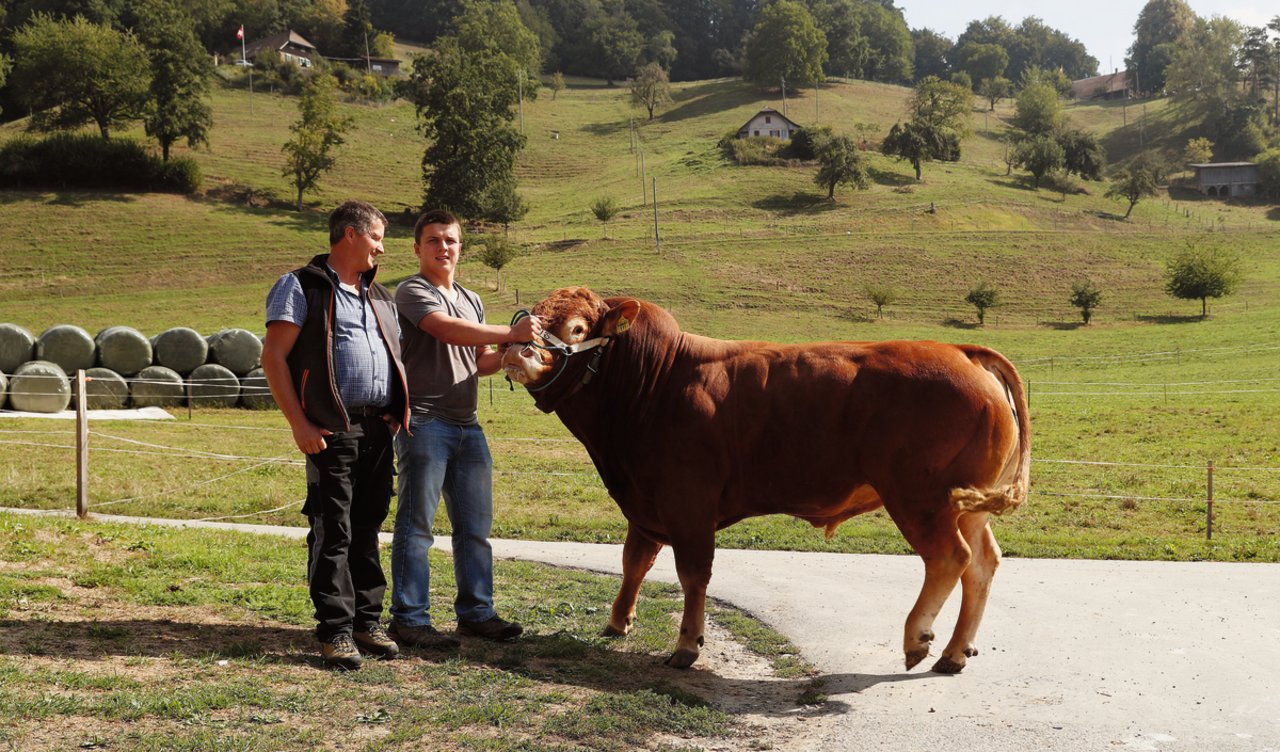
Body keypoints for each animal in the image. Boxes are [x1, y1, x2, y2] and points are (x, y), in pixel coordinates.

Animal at [499, 286, 1029, 670]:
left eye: (576, 327)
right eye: (529, 316)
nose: (516, 352)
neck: (654, 382)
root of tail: (961, 351)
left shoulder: (688, 502)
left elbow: (693, 572)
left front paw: (687, 644)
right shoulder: (644, 500)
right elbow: (635, 561)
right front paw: (617, 622)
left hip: (922, 499)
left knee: (950, 559)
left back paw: (918, 640)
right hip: (967, 507)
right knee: (983, 563)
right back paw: (955, 652)